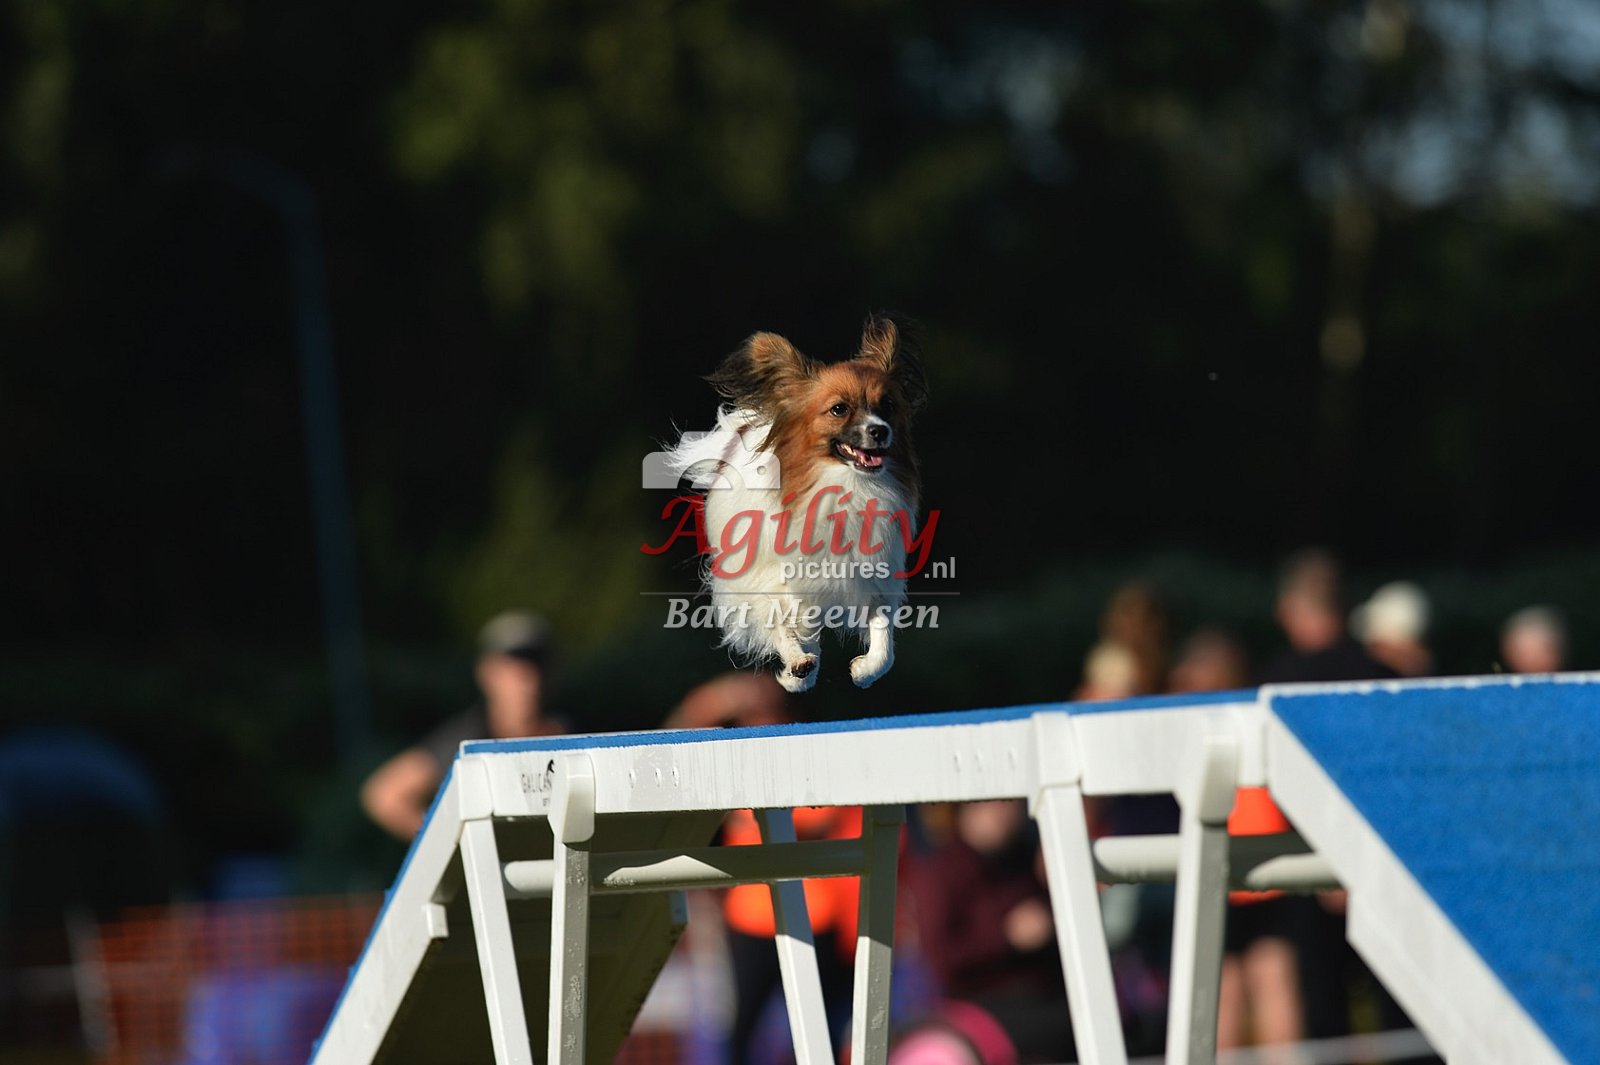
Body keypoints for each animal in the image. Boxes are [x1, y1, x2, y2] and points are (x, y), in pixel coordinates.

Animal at [666, 314, 928, 692]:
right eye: (839, 409)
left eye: (889, 407)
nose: (880, 431)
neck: (848, 484)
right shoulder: (773, 582)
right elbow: (782, 627)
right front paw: (796, 669)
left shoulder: (874, 579)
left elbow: (884, 645)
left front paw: (865, 671)